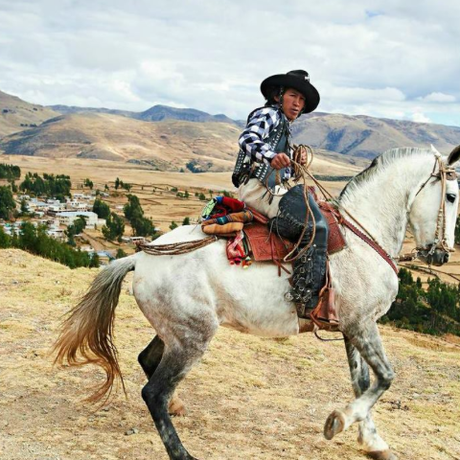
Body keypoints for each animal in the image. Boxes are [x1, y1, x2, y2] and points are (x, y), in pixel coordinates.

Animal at [54, 146, 460, 460]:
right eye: (452, 196)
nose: (442, 254)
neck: (363, 238)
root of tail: (140, 257)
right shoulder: (361, 323)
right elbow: (385, 378)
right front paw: (339, 421)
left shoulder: (350, 327)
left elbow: (363, 382)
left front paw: (373, 442)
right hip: (193, 338)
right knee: (153, 392)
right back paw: (182, 452)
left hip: (177, 331)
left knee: (148, 362)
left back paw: (177, 406)